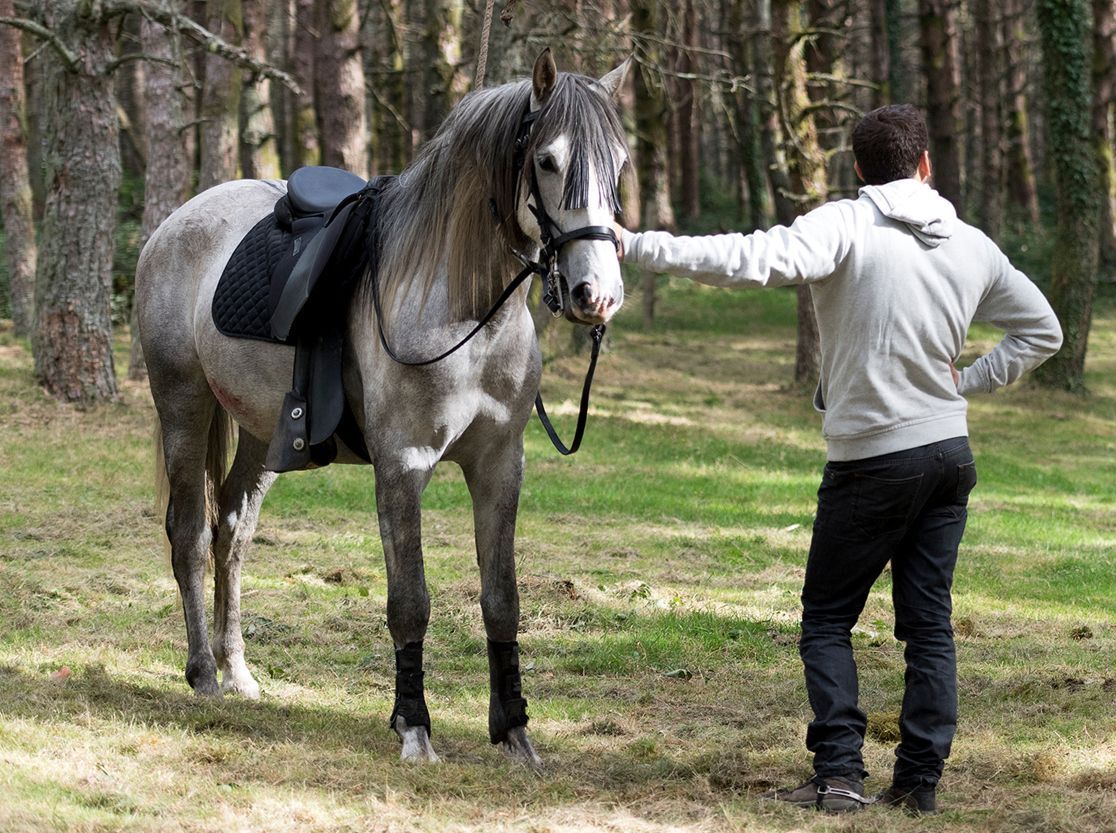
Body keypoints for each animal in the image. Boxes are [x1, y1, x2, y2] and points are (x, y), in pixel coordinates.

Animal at [132, 50, 629, 763]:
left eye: (619, 164)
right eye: (547, 160)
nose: (597, 294)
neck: (464, 310)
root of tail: (175, 224)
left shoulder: (500, 466)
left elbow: (501, 598)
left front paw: (514, 734)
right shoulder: (404, 466)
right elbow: (410, 600)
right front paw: (413, 726)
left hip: (262, 434)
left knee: (232, 532)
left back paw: (237, 669)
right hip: (183, 406)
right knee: (191, 532)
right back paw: (202, 672)